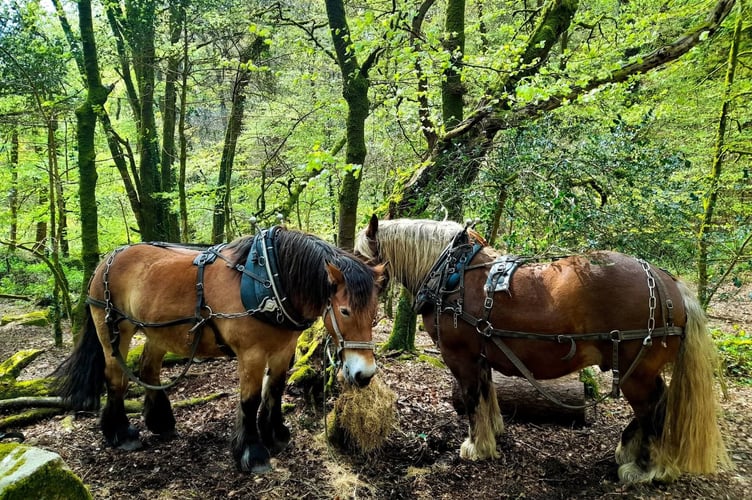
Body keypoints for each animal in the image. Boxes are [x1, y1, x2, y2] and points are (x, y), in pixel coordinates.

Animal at [54, 226, 385, 473]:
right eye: (344, 311)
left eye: (374, 312)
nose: (364, 374)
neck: (271, 279)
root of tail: (108, 258)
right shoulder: (251, 354)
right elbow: (250, 400)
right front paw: (252, 452)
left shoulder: (283, 350)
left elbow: (275, 391)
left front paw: (276, 434)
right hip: (113, 328)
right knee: (115, 378)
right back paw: (120, 433)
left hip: (157, 332)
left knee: (148, 369)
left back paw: (161, 422)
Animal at [354, 215, 728, 483]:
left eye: (358, 257)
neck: (450, 273)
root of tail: (668, 283)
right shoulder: (482, 352)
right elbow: (488, 394)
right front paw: (494, 433)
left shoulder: (460, 356)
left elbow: (473, 399)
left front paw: (476, 446)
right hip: (638, 371)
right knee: (653, 406)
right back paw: (628, 450)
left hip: (637, 371)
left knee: (653, 409)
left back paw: (646, 468)